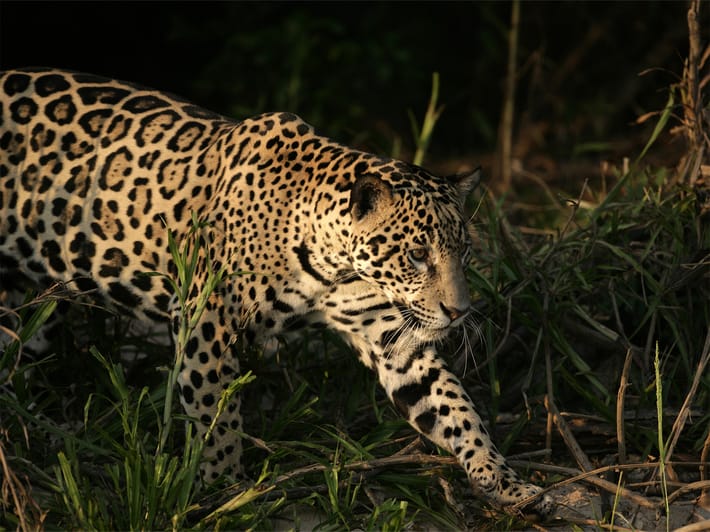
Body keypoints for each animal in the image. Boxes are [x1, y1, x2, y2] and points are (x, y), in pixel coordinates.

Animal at [0, 67, 552, 518]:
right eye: (417, 255)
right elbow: (216, 416)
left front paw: (504, 481)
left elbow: (456, 408)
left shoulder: (393, 339)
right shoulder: (206, 322)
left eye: (464, 252)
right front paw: (225, 488)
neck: (331, 263)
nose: (459, 312)